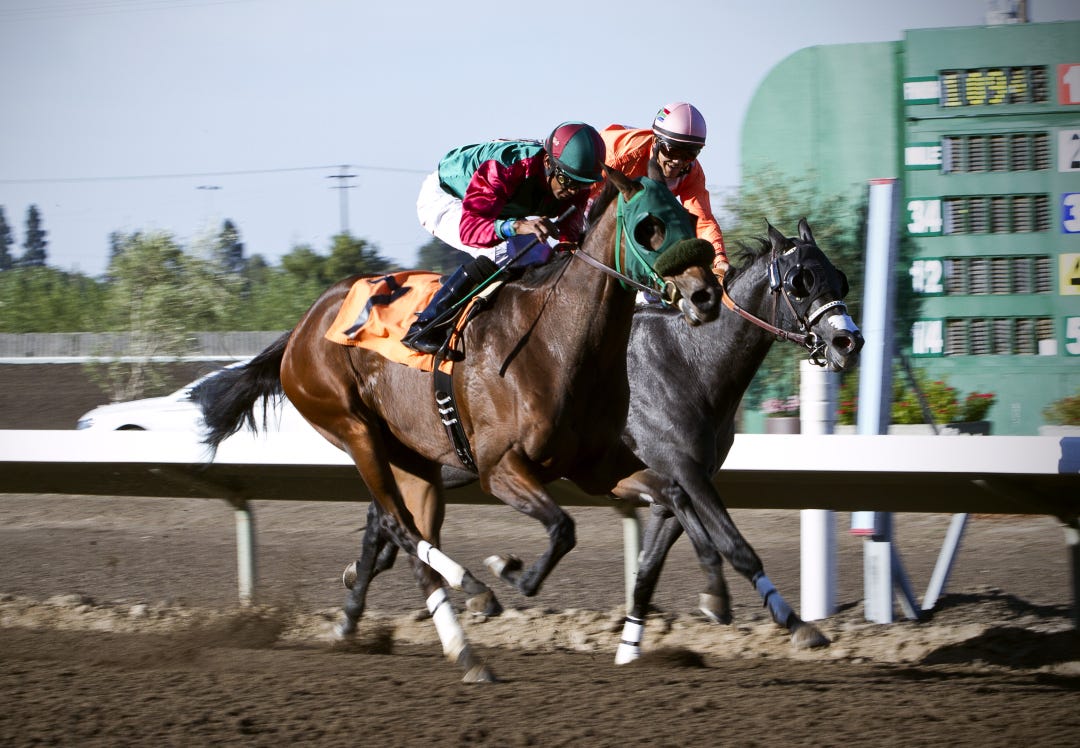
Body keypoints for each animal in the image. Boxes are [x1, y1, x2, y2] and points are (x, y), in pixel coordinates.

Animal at [191, 166, 722, 682]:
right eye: (649, 227)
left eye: (688, 220)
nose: (706, 297)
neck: (556, 344)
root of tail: (302, 328)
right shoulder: (500, 468)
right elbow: (563, 528)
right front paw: (511, 570)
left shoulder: (597, 467)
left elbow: (674, 493)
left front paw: (715, 587)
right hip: (352, 429)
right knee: (397, 524)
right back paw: (472, 604)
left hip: (414, 460)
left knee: (412, 533)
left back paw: (452, 640)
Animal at [348, 218, 863, 663]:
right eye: (800, 281)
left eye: (838, 279)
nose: (848, 342)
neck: (690, 361)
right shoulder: (683, 470)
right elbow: (734, 545)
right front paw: (791, 622)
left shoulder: (677, 479)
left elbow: (649, 569)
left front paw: (632, 647)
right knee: (384, 516)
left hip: (449, 463)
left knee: (380, 518)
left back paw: (357, 606)